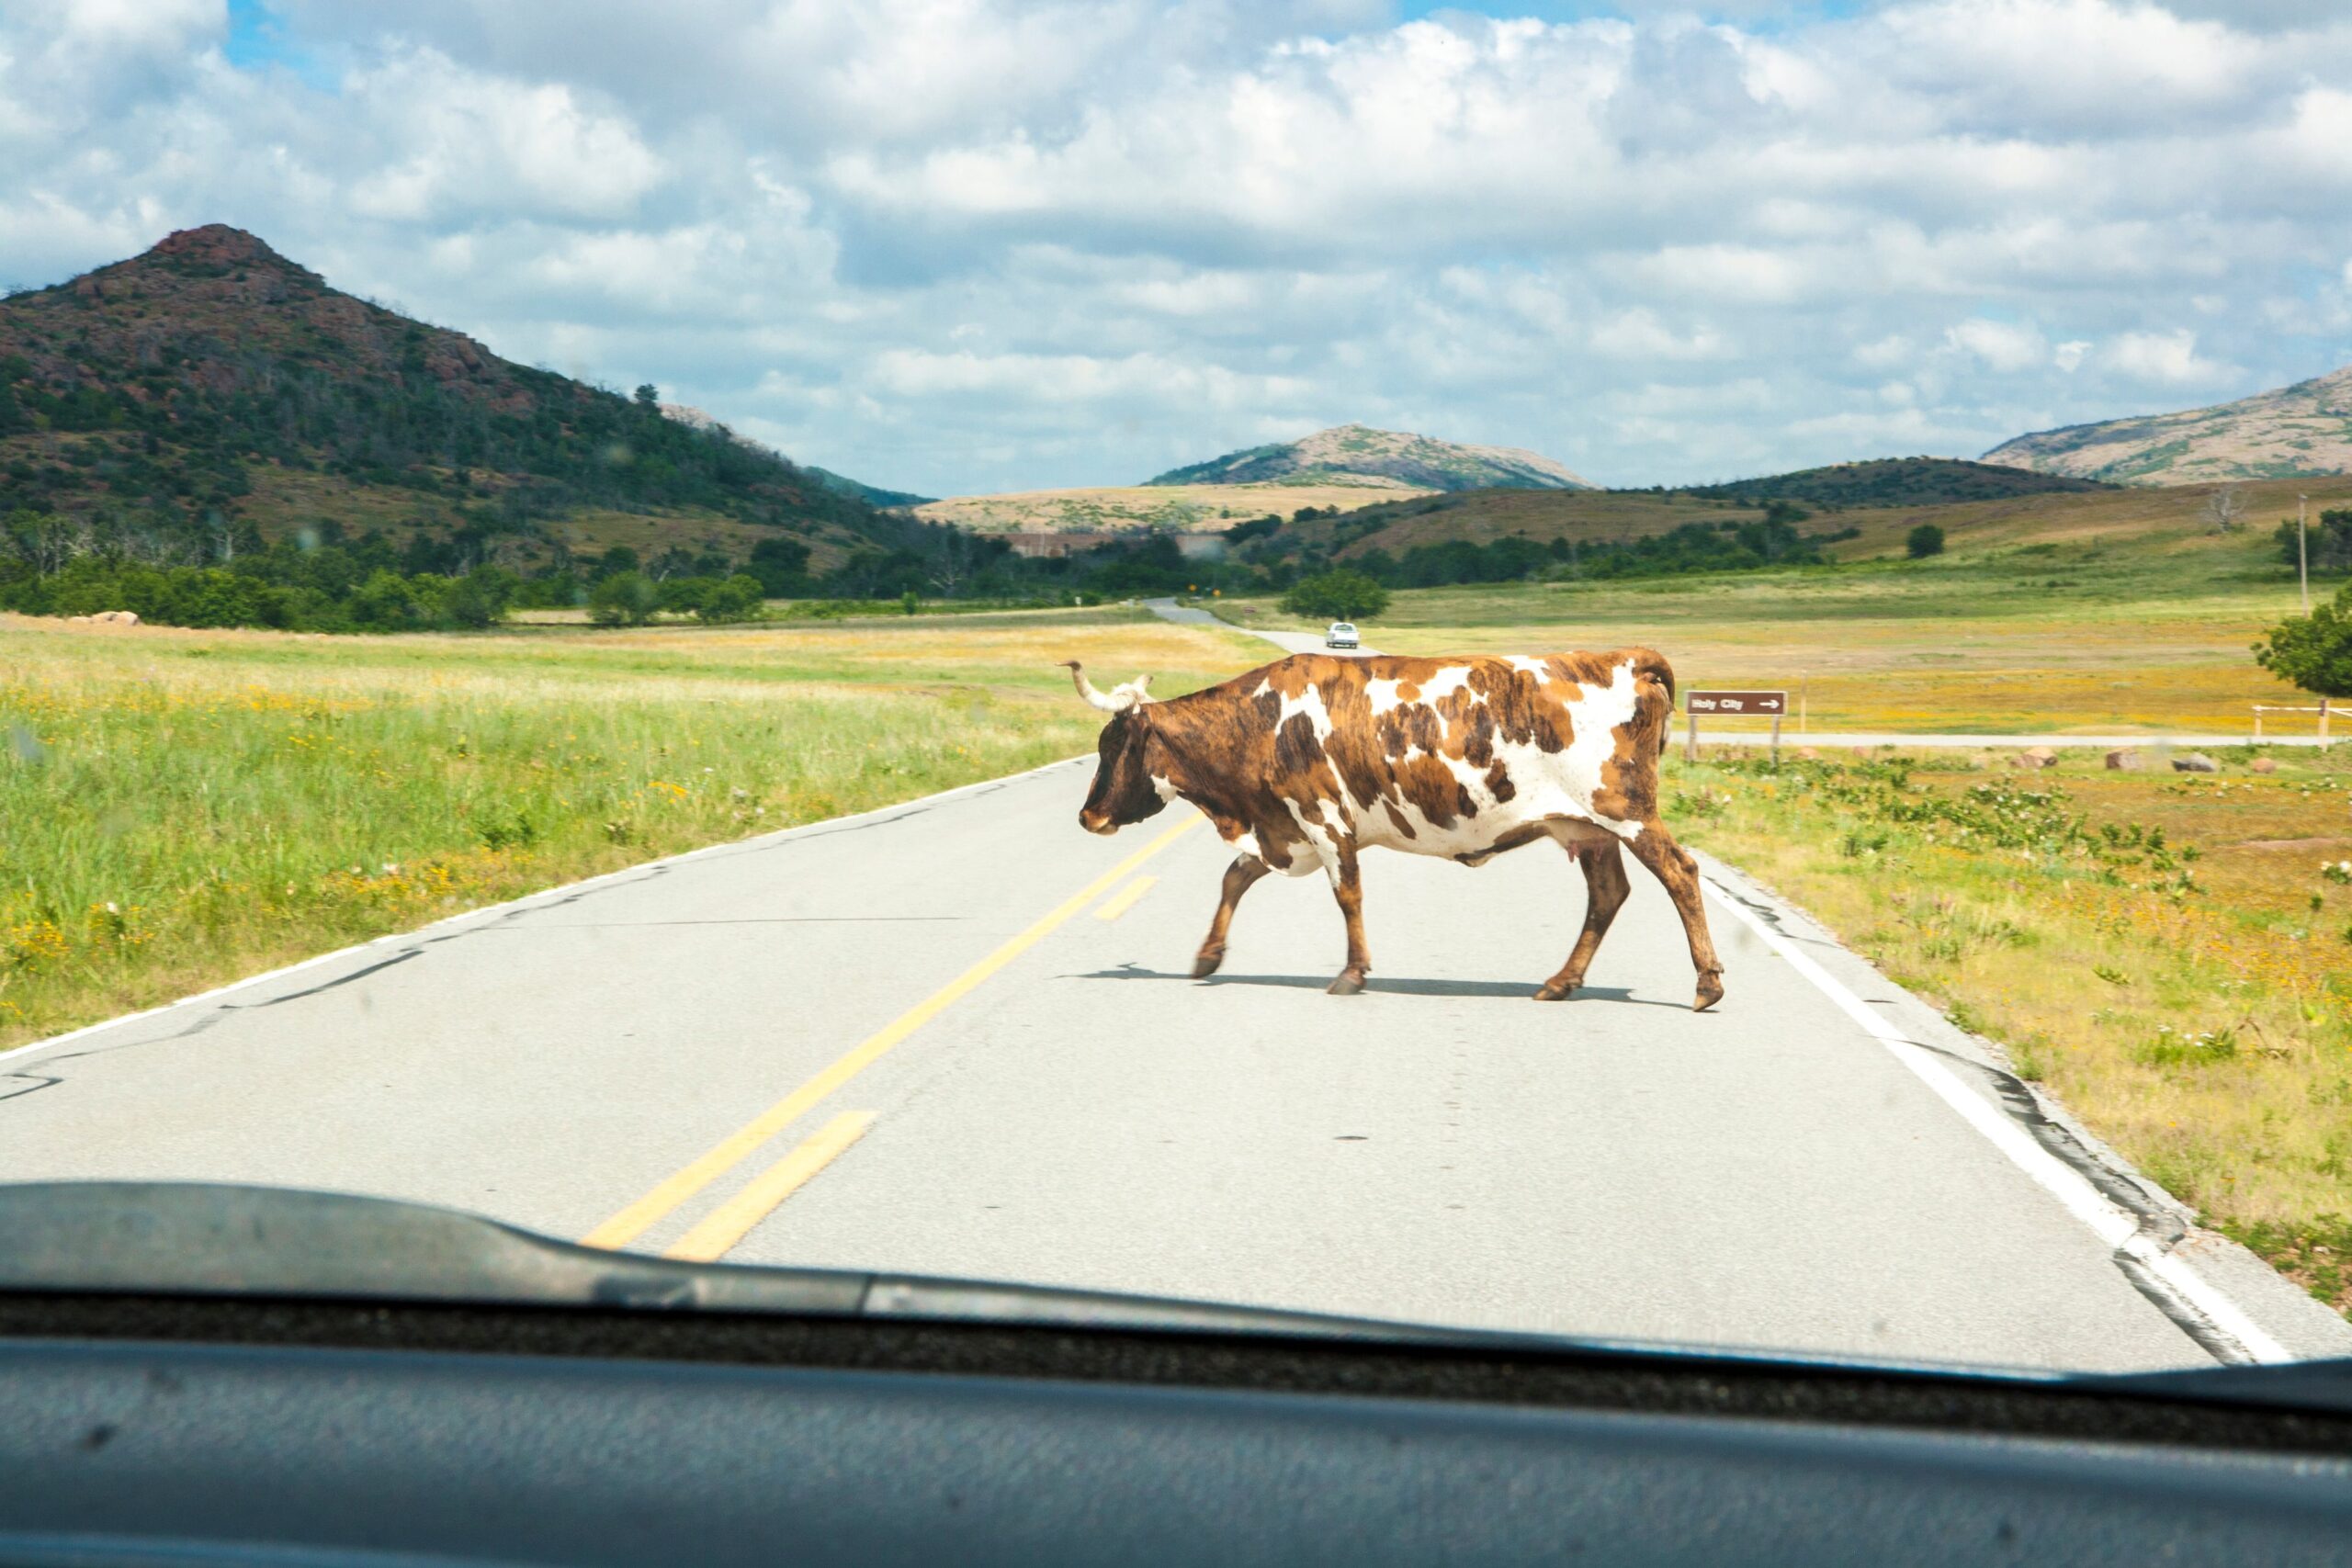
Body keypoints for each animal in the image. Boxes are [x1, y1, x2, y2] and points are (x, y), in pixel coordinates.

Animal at [1063, 650, 1723, 1011]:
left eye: (1113, 744)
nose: (1087, 816)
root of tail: (1625, 656)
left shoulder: (1324, 818)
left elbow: (1348, 894)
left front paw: (1353, 972)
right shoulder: (1283, 830)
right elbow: (1233, 877)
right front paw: (1207, 956)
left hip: (1625, 812)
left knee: (1679, 872)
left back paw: (1708, 984)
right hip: (1585, 829)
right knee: (1608, 894)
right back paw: (1562, 982)